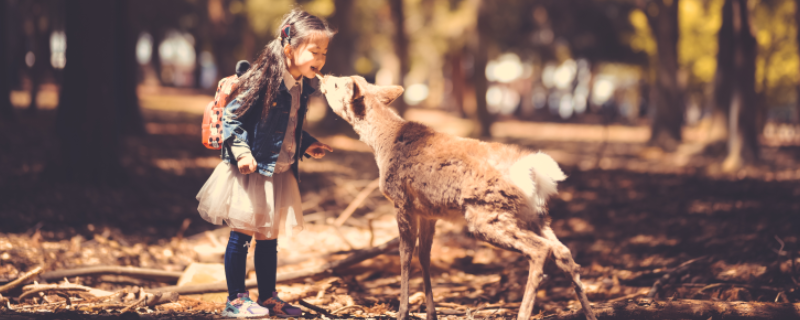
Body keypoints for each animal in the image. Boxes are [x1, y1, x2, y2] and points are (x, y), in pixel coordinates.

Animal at [318, 75, 592, 320]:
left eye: (337, 83)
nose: (323, 77)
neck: (382, 145)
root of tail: (532, 172)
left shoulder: (401, 201)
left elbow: (405, 255)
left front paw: (402, 312)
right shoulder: (428, 212)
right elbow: (424, 256)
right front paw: (431, 314)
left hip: (487, 214)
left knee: (540, 249)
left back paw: (523, 313)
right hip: (535, 215)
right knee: (563, 251)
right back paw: (590, 313)